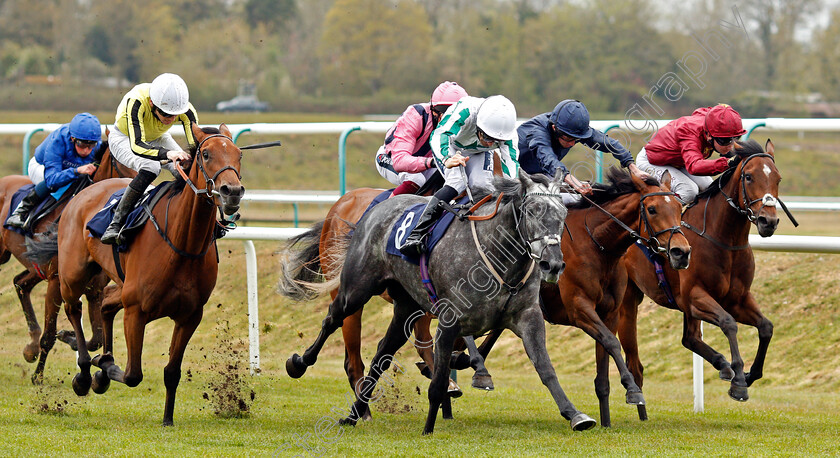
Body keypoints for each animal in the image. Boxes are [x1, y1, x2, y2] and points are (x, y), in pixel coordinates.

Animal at [0, 141, 135, 382]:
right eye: (121, 162)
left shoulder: (94, 289)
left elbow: (96, 338)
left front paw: (69, 337)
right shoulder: (56, 283)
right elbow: (49, 335)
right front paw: (38, 377)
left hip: (36, 267)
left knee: (20, 282)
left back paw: (30, 347)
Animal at [27, 122, 243, 426]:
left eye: (239, 154)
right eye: (207, 154)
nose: (232, 191)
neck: (183, 244)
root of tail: (85, 191)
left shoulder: (190, 316)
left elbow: (171, 371)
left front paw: (167, 419)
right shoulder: (136, 311)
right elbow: (132, 374)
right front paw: (101, 368)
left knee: (105, 302)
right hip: (72, 275)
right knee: (73, 308)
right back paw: (84, 371)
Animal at [286, 171, 600, 432]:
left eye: (563, 213)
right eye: (533, 210)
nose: (553, 264)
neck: (498, 256)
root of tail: (374, 209)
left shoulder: (528, 317)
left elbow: (545, 368)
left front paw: (575, 414)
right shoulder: (449, 321)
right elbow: (437, 380)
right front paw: (428, 428)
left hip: (407, 307)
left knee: (381, 355)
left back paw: (354, 413)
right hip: (356, 291)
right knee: (332, 320)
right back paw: (299, 363)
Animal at [476, 167, 692, 426]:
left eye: (679, 207)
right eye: (652, 209)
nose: (681, 252)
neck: (598, 245)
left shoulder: (609, 313)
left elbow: (604, 364)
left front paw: (607, 420)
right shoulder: (579, 309)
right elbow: (611, 342)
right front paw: (633, 391)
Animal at [616, 138, 788, 414]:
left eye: (778, 178)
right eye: (749, 176)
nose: (768, 221)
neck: (724, 239)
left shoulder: (738, 298)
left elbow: (766, 327)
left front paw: (749, 374)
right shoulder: (695, 296)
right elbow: (728, 323)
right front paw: (739, 381)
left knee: (690, 338)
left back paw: (722, 364)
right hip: (629, 299)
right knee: (635, 358)